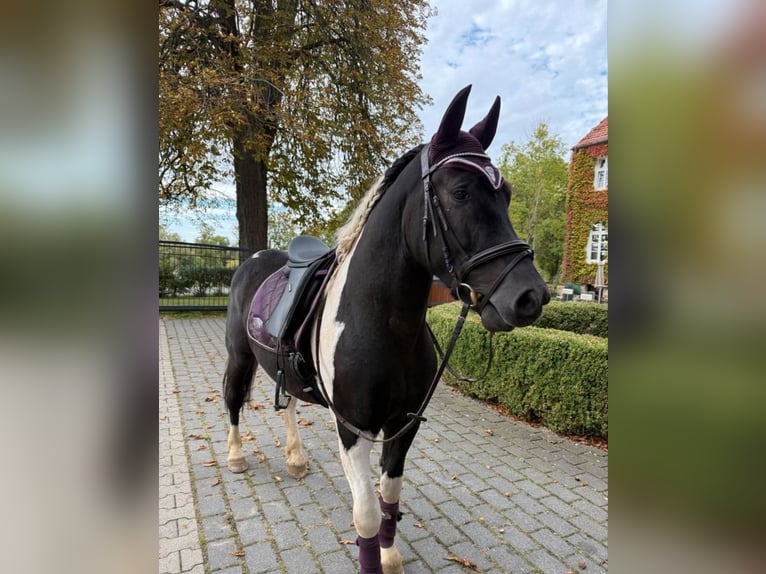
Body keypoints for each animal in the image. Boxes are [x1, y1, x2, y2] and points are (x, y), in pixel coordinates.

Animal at [222, 85, 550, 574]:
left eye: (507, 194)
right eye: (460, 192)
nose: (530, 296)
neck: (384, 324)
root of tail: (257, 259)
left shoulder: (404, 425)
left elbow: (390, 498)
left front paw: (391, 554)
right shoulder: (353, 430)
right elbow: (366, 514)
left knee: (289, 406)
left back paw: (296, 459)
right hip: (239, 357)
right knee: (232, 400)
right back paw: (236, 455)